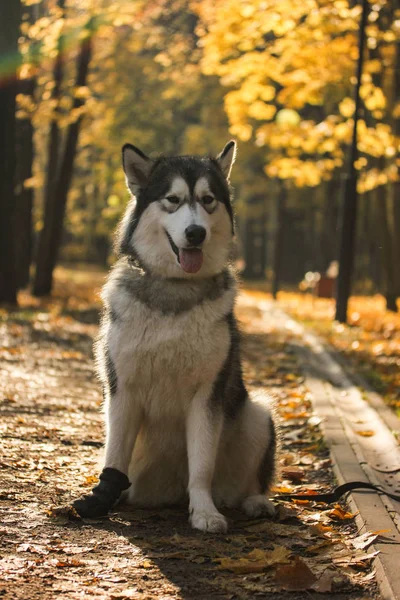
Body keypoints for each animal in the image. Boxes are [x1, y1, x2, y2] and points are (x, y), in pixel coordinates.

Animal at [73, 142, 276, 536]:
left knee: (246, 482)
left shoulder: (208, 394)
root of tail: (168, 493)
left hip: (258, 414)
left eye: (208, 200)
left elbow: (202, 465)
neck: (175, 289)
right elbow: (114, 457)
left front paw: (205, 512)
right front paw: (101, 499)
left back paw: (254, 501)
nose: (196, 233)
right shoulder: (122, 389)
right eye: (173, 199)